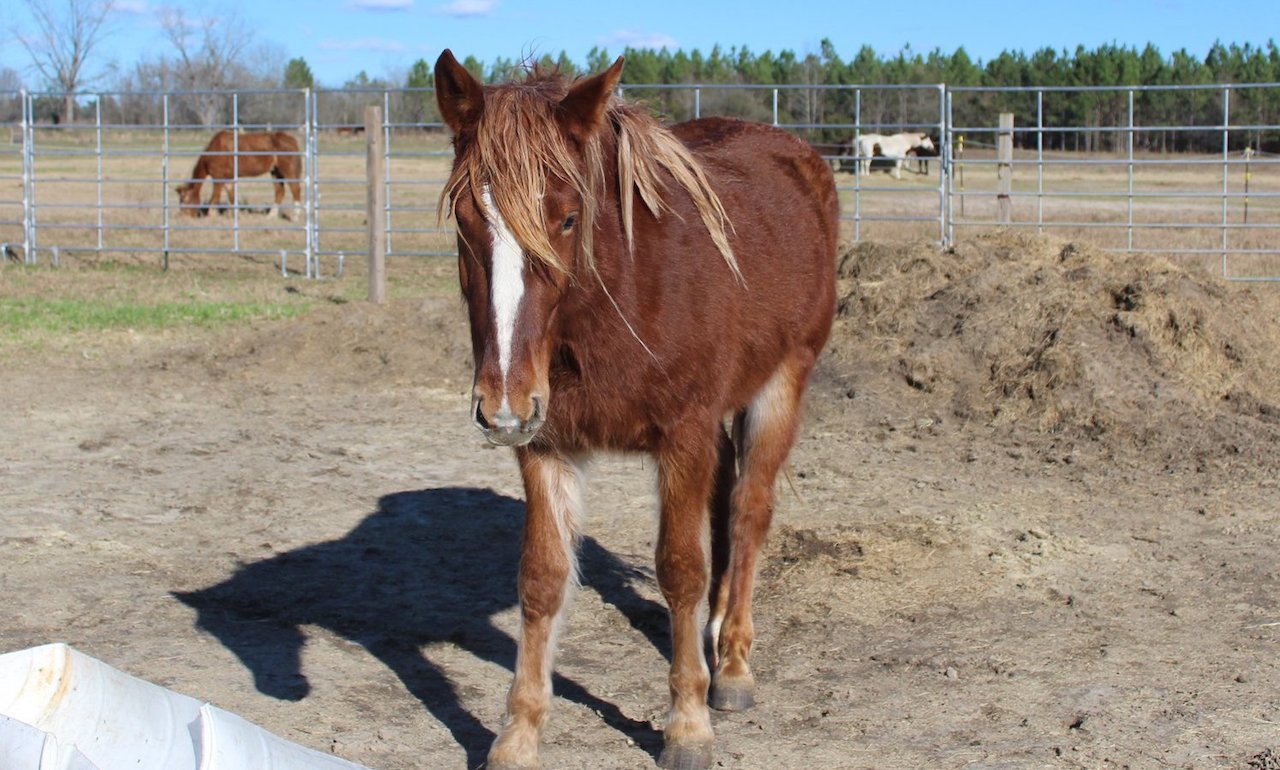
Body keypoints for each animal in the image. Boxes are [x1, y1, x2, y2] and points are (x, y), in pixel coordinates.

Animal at [435, 50, 839, 762]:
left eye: (568, 218)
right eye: (463, 218)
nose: (503, 404)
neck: (615, 304)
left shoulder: (683, 435)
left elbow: (679, 569)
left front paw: (688, 725)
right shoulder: (547, 446)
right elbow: (542, 579)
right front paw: (517, 736)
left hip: (782, 384)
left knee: (749, 511)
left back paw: (733, 666)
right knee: (724, 502)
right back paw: (714, 633)